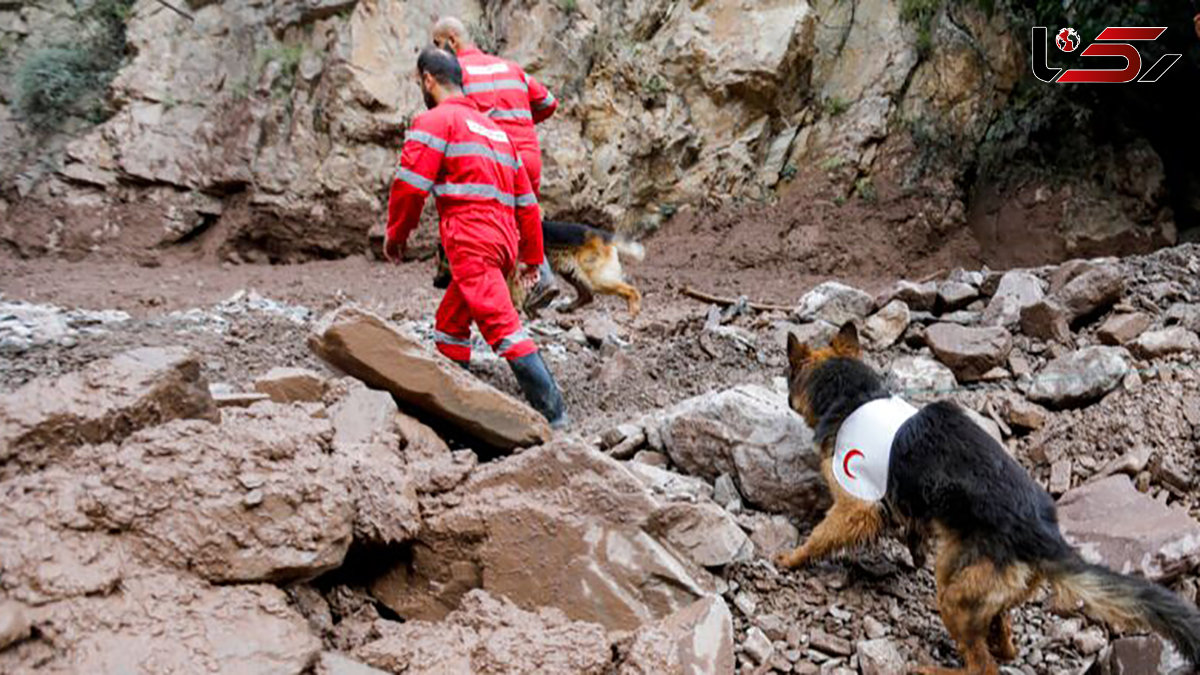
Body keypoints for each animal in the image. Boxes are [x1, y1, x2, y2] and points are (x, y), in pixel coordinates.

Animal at [434, 219, 648, 317]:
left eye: (442, 263)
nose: (434, 283)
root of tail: (603, 235)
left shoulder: (515, 271)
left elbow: (513, 290)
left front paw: (516, 308)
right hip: (572, 273)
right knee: (587, 296)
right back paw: (567, 307)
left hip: (596, 277)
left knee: (631, 290)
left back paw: (633, 311)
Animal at [777, 324, 1200, 667]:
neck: (853, 392)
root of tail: (1043, 537)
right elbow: (912, 530)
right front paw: (913, 552)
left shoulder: (854, 502)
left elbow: (823, 535)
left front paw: (791, 557)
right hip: (984, 588)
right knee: (1003, 641)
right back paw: (1000, 641)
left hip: (952, 593)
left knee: (982, 666)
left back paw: (933, 668)